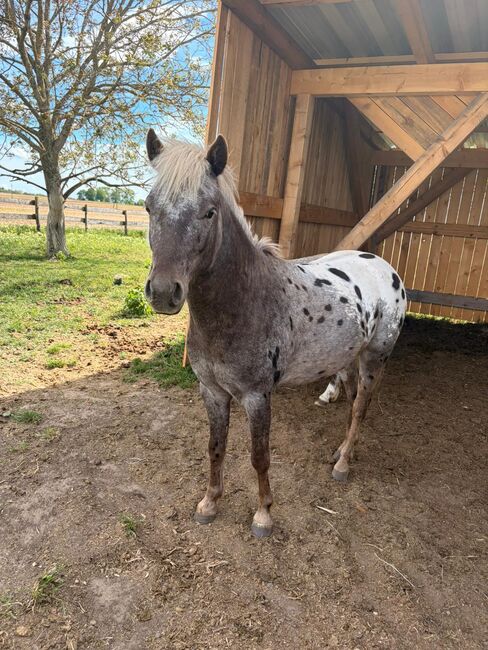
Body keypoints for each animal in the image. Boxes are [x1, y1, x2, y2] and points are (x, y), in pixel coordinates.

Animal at [144, 130, 407, 538]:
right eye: (148, 208)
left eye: (209, 211)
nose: (162, 292)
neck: (244, 301)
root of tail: (384, 267)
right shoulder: (212, 392)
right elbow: (215, 447)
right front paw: (209, 503)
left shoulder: (257, 396)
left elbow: (259, 456)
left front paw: (263, 514)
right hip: (349, 357)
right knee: (351, 404)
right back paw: (341, 451)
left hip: (374, 358)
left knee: (361, 406)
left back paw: (343, 466)